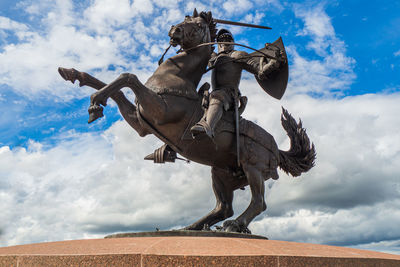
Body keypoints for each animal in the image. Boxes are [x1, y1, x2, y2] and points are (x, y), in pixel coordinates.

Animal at [59, 9, 316, 233]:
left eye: (200, 25)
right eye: (185, 18)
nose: (175, 29)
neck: (176, 78)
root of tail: (276, 147)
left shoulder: (158, 111)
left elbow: (127, 78)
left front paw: (95, 102)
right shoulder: (141, 123)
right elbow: (115, 87)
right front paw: (76, 78)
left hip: (252, 168)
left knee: (258, 202)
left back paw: (234, 225)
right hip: (221, 173)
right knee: (223, 207)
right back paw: (192, 227)